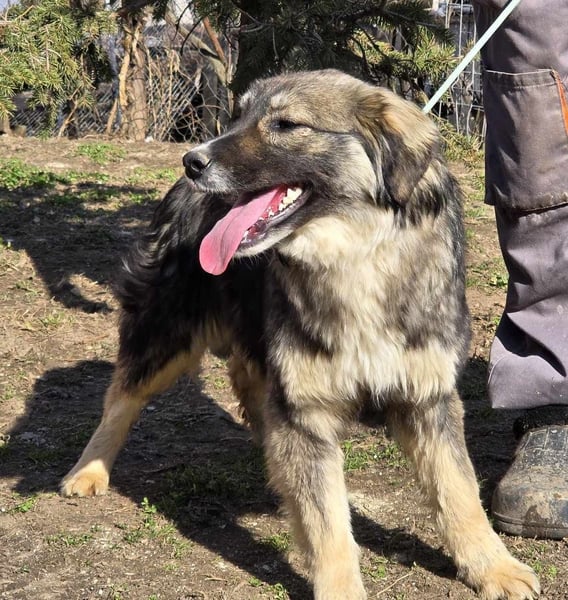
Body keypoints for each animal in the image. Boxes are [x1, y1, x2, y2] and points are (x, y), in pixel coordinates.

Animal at [61, 70, 539, 599]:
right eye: (238, 116)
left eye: (287, 125)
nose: (191, 161)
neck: (359, 258)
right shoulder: (305, 410)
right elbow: (328, 524)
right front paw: (342, 590)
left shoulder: (427, 395)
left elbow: (459, 490)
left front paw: (492, 566)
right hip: (167, 334)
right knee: (122, 396)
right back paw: (88, 470)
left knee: (245, 378)